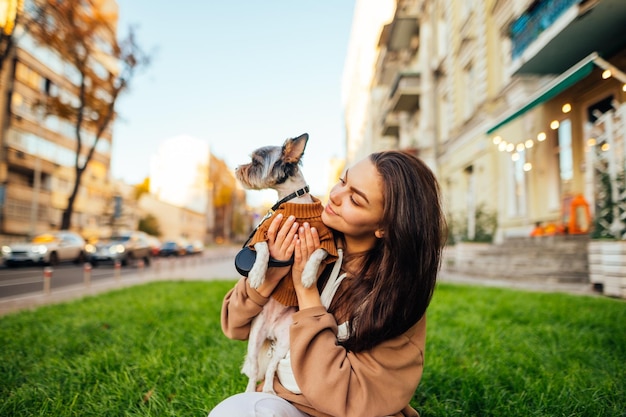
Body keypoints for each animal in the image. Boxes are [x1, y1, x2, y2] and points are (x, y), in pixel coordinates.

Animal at [234, 132, 336, 392]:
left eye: (256, 162)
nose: (237, 168)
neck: (294, 203)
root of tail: (270, 332)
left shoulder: (326, 240)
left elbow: (319, 254)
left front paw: (308, 276)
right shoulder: (264, 232)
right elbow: (262, 250)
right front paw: (257, 274)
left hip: (284, 343)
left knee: (270, 369)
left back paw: (269, 389)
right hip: (254, 339)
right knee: (254, 372)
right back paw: (251, 391)